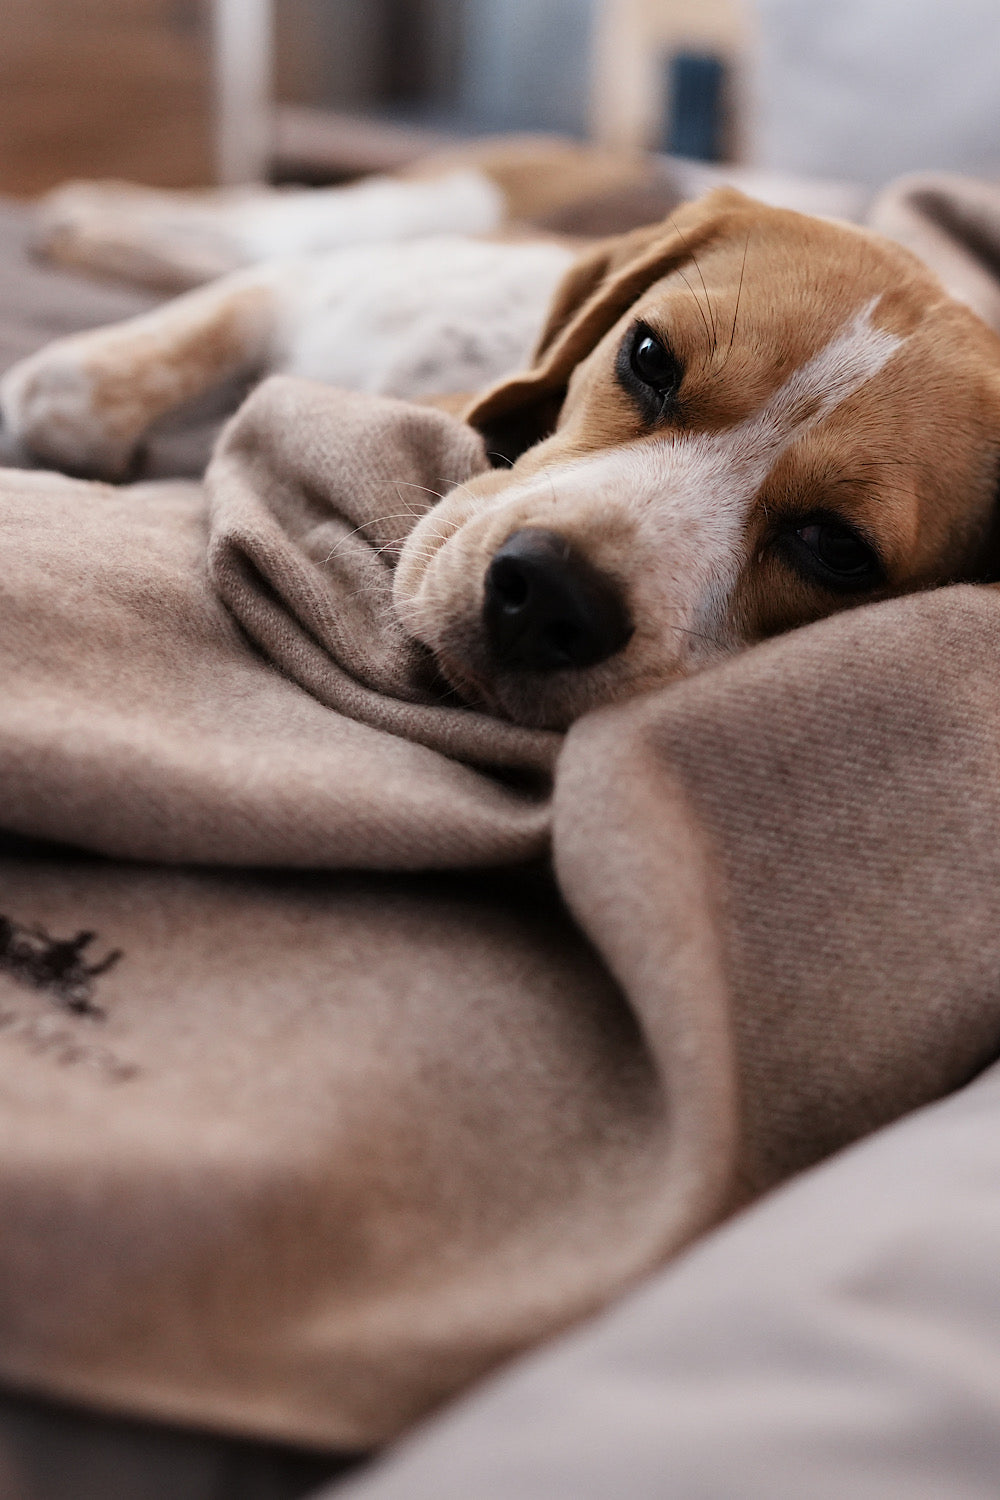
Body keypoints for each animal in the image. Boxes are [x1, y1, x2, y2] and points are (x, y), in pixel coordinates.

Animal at [1, 184, 1000, 735]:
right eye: (649, 357)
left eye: (836, 548)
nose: (552, 596)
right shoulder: (309, 290)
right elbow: (81, 388)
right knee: (246, 217)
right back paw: (81, 214)